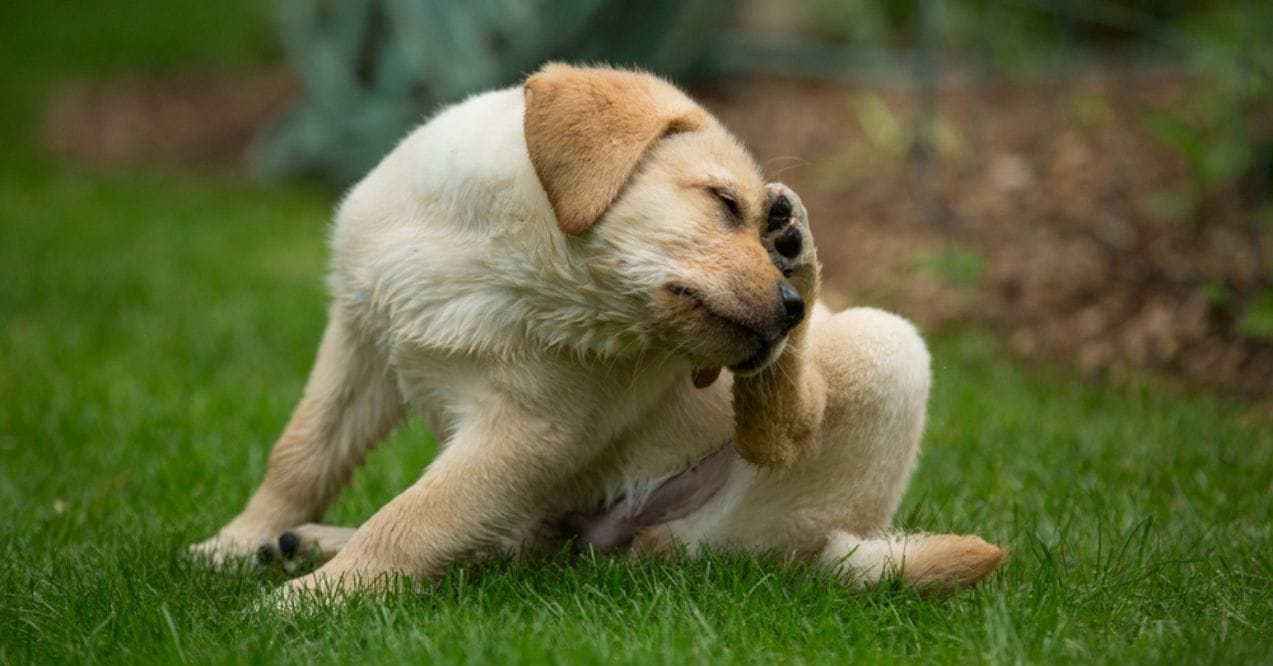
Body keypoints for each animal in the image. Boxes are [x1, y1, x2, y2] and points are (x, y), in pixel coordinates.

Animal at [188, 63, 1003, 603]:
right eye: (721, 203)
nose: (787, 308)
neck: (520, 267)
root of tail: (841, 546)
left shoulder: (528, 432)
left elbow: (414, 520)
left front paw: (301, 608)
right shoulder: (359, 335)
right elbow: (302, 455)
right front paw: (232, 542)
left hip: (883, 351)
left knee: (765, 451)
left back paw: (801, 247)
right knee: (508, 544)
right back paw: (296, 542)